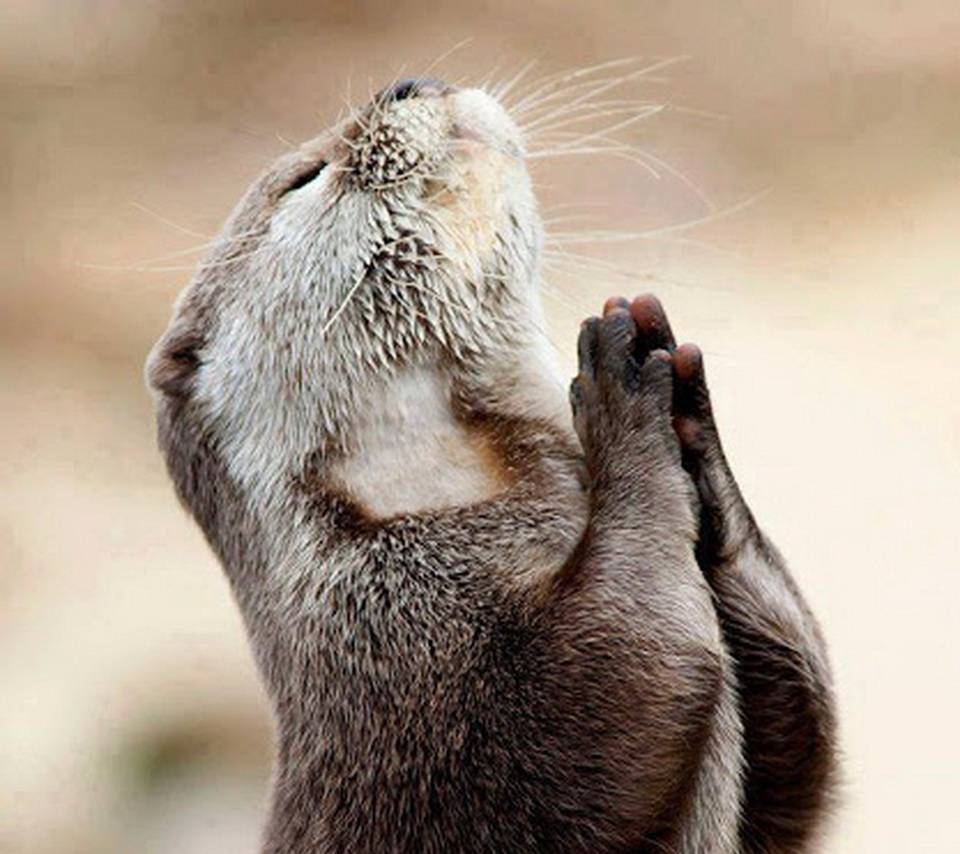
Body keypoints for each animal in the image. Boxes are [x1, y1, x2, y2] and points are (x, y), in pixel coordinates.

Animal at [146, 77, 836, 852]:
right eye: (306, 177)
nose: (406, 83)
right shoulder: (406, 644)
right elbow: (621, 673)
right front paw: (620, 398)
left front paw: (691, 429)